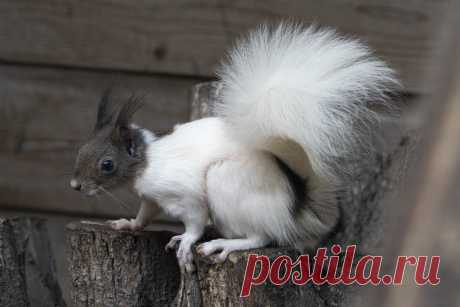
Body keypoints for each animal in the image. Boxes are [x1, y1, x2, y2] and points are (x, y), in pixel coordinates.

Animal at [69, 24, 398, 274]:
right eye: (81, 150)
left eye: (107, 164)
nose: (75, 186)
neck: (145, 163)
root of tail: (295, 208)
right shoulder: (151, 198)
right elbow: (145, 214)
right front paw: (128, 224)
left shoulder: (184, 194)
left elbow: (194, 222)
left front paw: (185, 243)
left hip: (226, 181)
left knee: (261, 237)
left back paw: (224, 244)